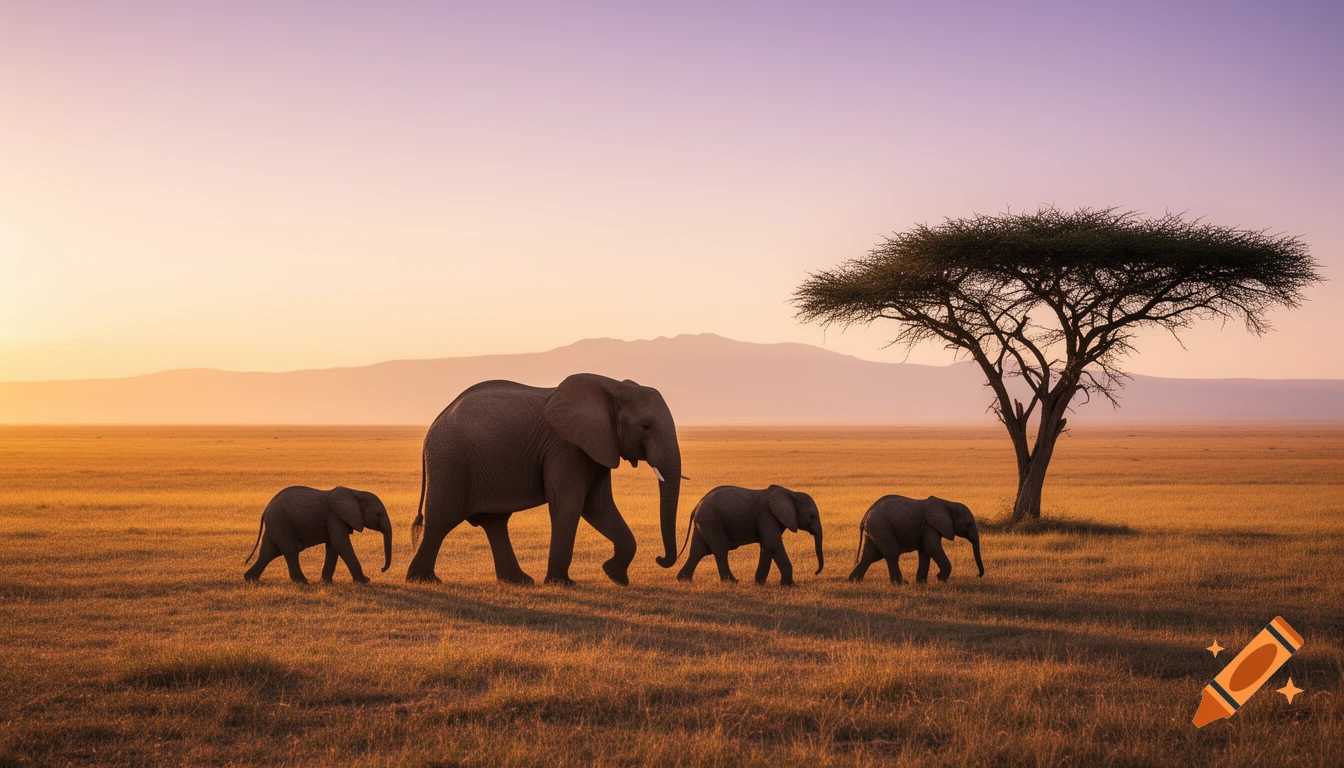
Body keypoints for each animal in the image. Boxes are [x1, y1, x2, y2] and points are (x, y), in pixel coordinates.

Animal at [243, 486, 393, 584]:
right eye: (378, 514)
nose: (381, 569)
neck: (356, 492)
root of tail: (265, 510)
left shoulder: (333, 518)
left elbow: (333, 547)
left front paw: (326, 582)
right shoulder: (334, 516)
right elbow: (341, 544)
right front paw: (365, 581)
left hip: (276, 524)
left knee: (270, 551)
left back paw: (249, 579)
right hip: (281, 523)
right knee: (290, 550)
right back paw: (303, 582)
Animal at [405, 373, 683, 586]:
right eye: (646, 427)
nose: (660, 559)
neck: (614, 387)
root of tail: (433, 425)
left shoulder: (598, 446)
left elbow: (598, 507)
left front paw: (615, 576)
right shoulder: (565, 446)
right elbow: (570, 504)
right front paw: (563, 584)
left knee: (494, 523)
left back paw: (519, 581)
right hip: (451, 462)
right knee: (441, 520)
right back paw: (424, 580)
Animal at [674, 485, 824, 586]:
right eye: (811, 516)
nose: (816, 573)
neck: (791, 493)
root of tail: (696, 506)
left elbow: (767, 546)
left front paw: (759, 583)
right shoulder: (767, 515)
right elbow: (773, 544)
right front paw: (790, 585)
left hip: (704, 523)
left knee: (698, 551)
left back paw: (684, 580)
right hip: (712, 522)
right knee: (720, 549)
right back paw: (732, 582)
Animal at [847, 495, 984, 584]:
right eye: (968, 524)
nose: (978, 575)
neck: (948, 503)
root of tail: (865, 516)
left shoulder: (926, 526)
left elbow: (925, 551)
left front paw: (921, 583)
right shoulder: (929, 525)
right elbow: (932, 548)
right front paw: (940, 579)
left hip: (875, 530)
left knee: (870, 556)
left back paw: (854, 581)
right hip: (881, 528)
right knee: (891, 554)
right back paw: (901, 583)